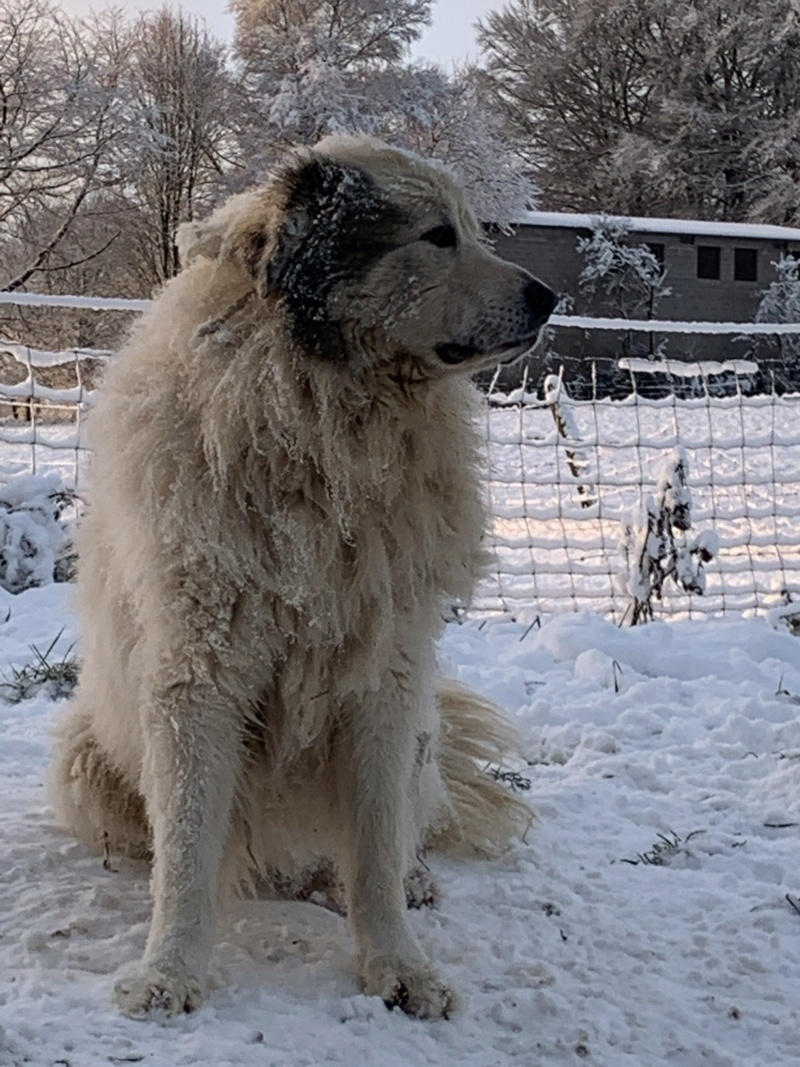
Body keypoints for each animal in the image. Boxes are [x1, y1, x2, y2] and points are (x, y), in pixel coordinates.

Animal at [46, 133, 554, 1015]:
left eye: (470, 227)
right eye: (437, 236)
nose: (550, 296)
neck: (319, 419)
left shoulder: (383, 678)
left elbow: (376, 847)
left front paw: (398, 965)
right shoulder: (196, 676)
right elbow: (188, 847)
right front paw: (169, 971)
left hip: (419, 728)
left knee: (381, 837)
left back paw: (390, 880)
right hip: (87, 749)